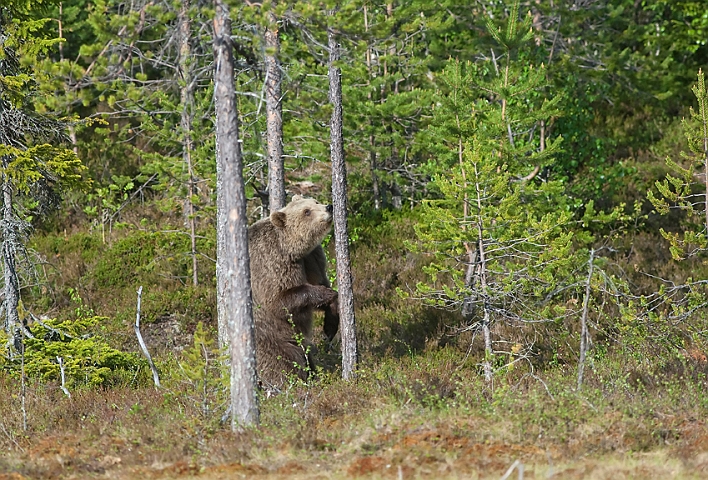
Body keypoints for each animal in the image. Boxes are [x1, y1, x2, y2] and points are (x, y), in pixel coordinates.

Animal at [248, 193, 338, 388]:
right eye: (307, 211)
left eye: (315, 202)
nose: (329, 207)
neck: (293, 250)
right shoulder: (273, 263)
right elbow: (279, 300)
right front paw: (325, 293)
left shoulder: (312, 258)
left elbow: (323, 283)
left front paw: (330, 326)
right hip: (271, 338)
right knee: (284, 361)